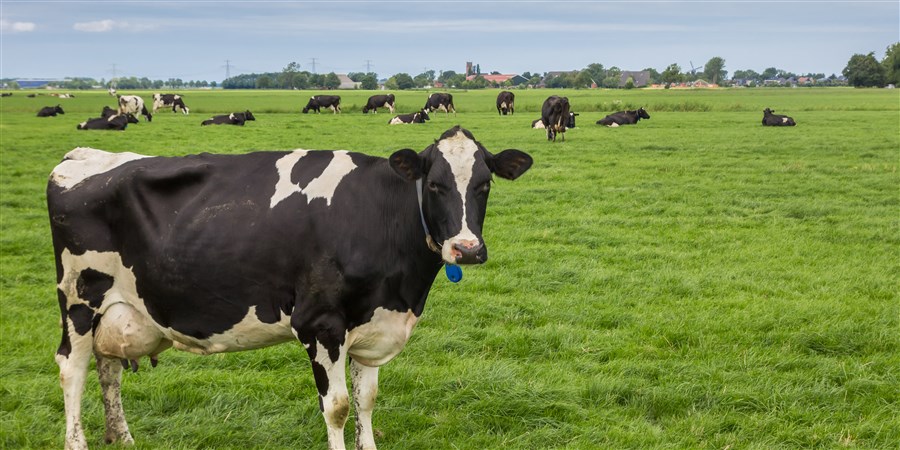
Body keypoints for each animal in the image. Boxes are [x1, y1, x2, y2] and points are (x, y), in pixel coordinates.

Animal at [45, 125, 532, 450]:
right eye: (434, 184)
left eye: (484, 184)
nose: (467, 249)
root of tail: (84, 155)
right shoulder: (320, 324)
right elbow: (337, 407)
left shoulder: (373, 324)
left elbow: (367, 401)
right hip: (78, 298)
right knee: (72, 366)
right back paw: (78, 442)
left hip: (118, 308)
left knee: (108, 367)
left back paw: (121, 437)